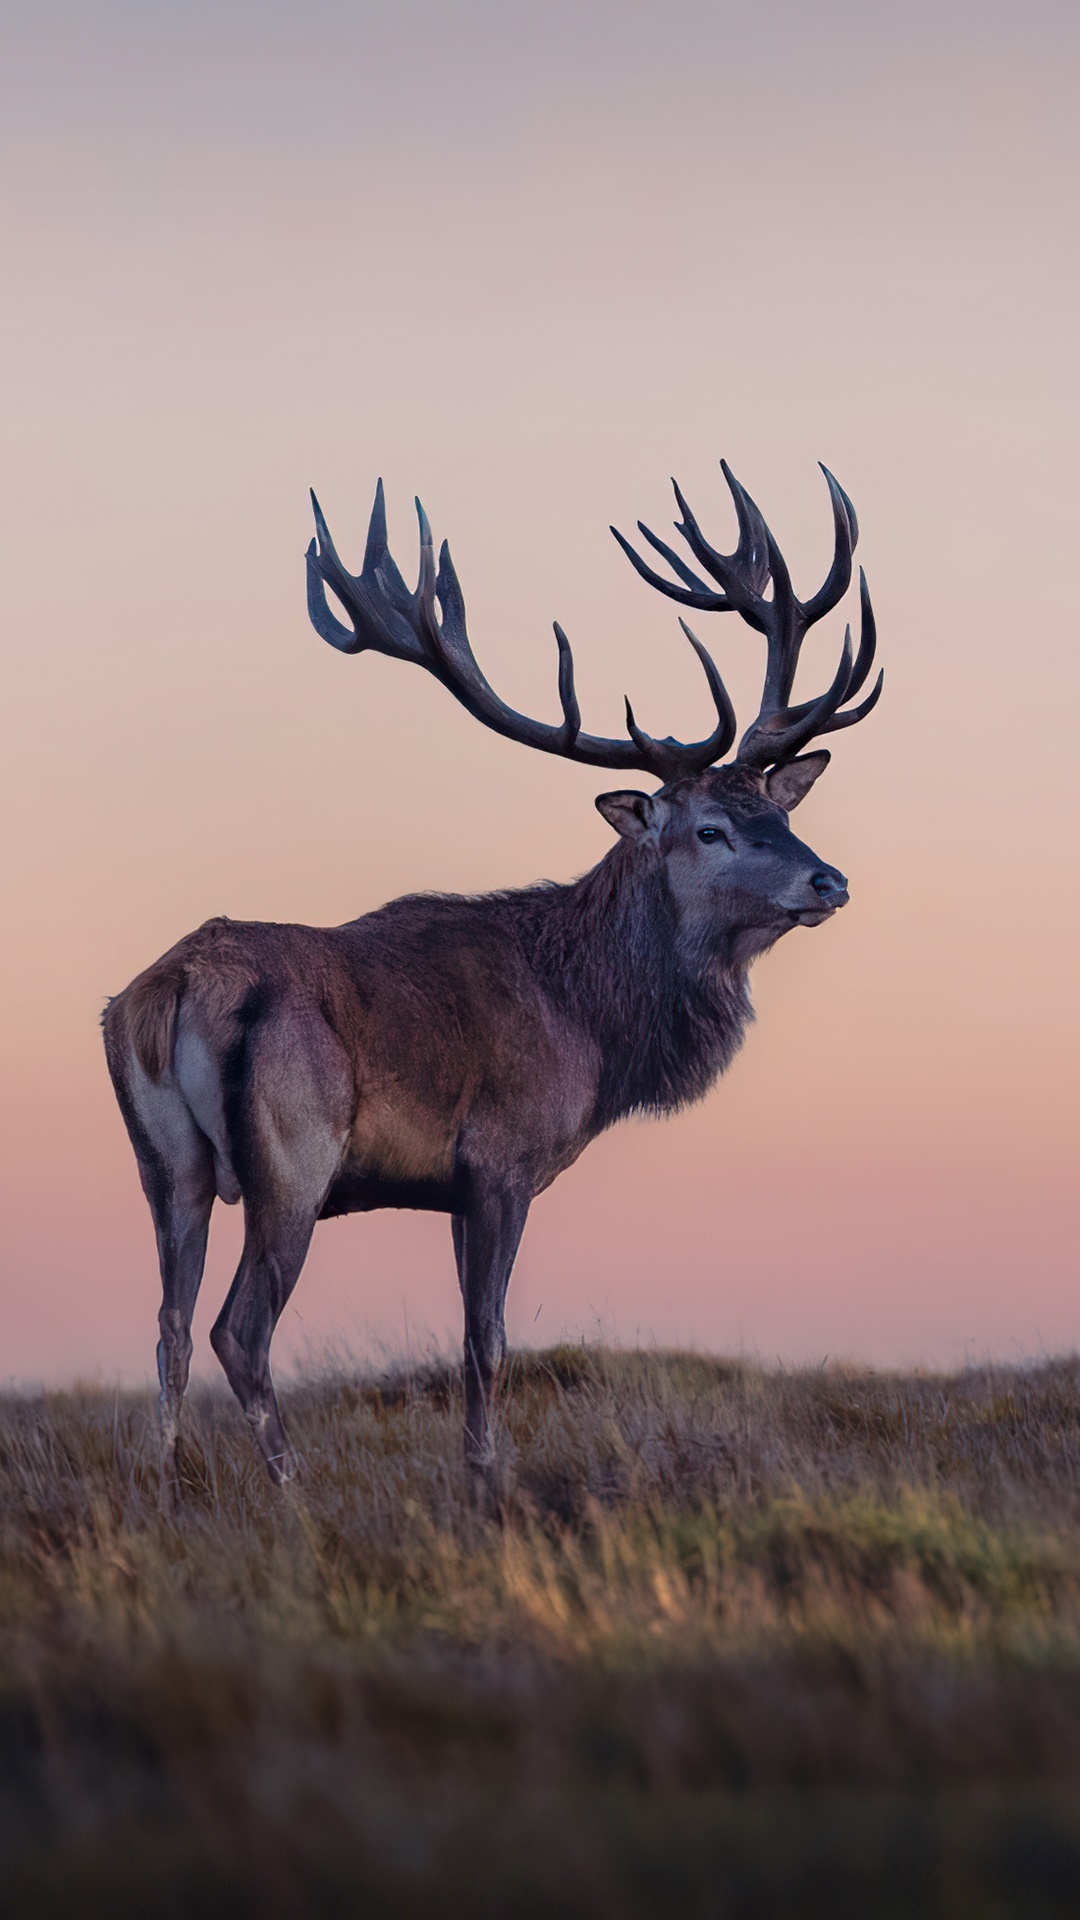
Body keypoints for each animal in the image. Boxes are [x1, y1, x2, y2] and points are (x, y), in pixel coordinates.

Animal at [103, 458, 881, 1493]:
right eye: (709, 828)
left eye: (777, 811)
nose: (828, 879)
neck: (591, 1027)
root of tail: (168, 989)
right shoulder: (501, 1161)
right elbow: (488, 1340)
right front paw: (485, 1482)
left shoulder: (451, 1188)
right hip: (293, 1158)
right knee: (240, 1329)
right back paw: (290, 1492)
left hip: (165, 1166)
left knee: (170, 1326)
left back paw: (169, 1483)